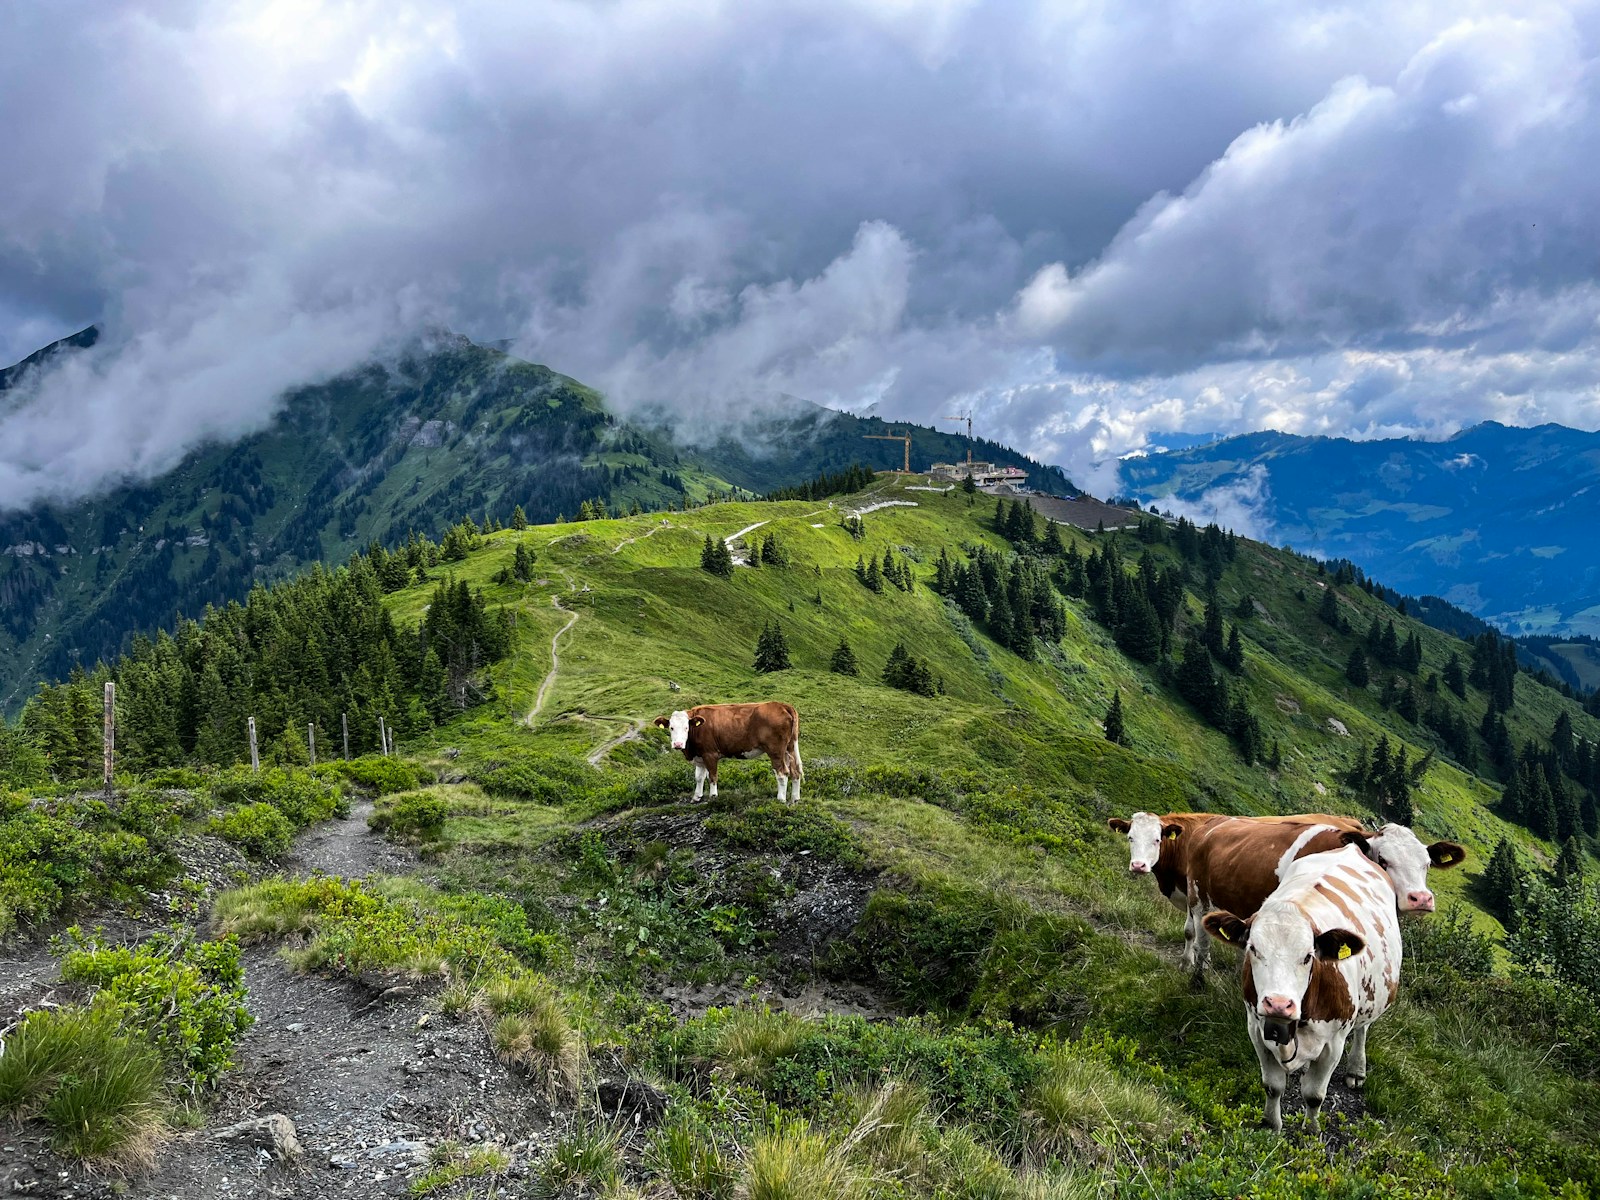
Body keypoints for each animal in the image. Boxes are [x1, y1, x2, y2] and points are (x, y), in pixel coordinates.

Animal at [653, 702, 803, 802]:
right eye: (671, 727)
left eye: (686, 727)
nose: (678, 744)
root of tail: (782, 705)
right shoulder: (700, 757)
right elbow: (699, 777)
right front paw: (696, 797)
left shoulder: (710, 754)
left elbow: (712, 776)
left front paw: (713, 796)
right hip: (789, 748)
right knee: (795, 771)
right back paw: (795, 798)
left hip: (775, 750)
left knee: (782, 773)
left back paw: (781, 799)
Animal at [1182, 818, 1465, 973]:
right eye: (1383, 860)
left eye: (1426, 863)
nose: (1421, 898)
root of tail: (1213, 823)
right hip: (1197, 895)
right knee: (1199, 936)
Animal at [1202, 843, 1402, 1131]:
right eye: (1253, 949)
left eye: (1308, 956)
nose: (1278, 1004)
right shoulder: (1256, 1029)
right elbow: (1273, 1086)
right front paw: (1271, 1126)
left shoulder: (1334, 1043)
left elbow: (1314, 1095)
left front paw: (1311, 1131)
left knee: (1363, 1029)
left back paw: (1356, 1069)